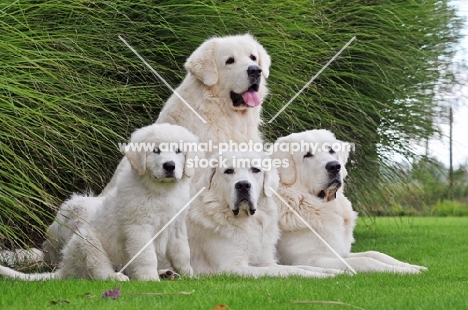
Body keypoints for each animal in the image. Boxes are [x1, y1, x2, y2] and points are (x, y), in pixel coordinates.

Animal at [0, 124, 197, 280]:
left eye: (178, 150)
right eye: (156, 150)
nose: (169, 166)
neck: (162, 190)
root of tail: (64, 267)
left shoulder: (177, 226)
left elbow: (183, 252)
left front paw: (190, 275)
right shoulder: (138, 228)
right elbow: (147, 256)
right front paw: (150, 279)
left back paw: (166, 273)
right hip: (88, 243)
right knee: (98, 272)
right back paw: (117, 277)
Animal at [186, 151, 340, 278]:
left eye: (255, 170)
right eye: (228, 171)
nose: (243, 185)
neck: (249, 222)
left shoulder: (266, 261)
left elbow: (303, 266)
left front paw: (333, 272)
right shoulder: (231, 267)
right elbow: (291, 270)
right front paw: (321, 276)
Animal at [270, 129, 428, 274]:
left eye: (331, 151)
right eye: (307, 155)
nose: (334, 166)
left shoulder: (341, 252)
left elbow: (375, 253)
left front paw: (411, 266)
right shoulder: (310, 259)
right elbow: (365, 260)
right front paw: (404, 271)